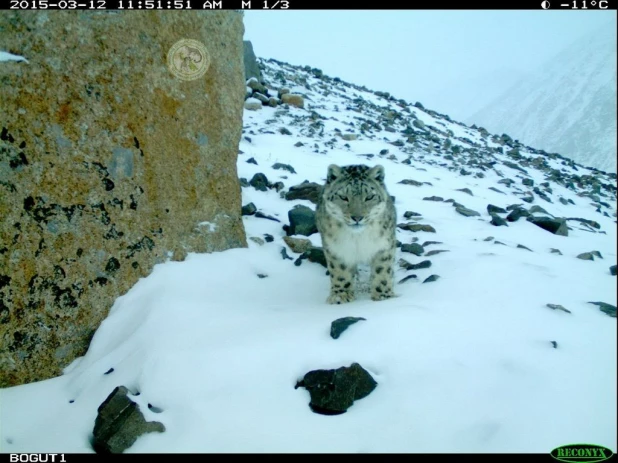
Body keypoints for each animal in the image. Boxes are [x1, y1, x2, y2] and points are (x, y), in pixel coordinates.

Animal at [316, 163, 398, 304]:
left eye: (369, 197)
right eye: (343, 197)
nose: (357, 217)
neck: (358, 238)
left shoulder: (385, 246)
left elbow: (383, 269)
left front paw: (383, 295)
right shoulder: (336, 248)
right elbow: (340, 271)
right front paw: (341, 295)